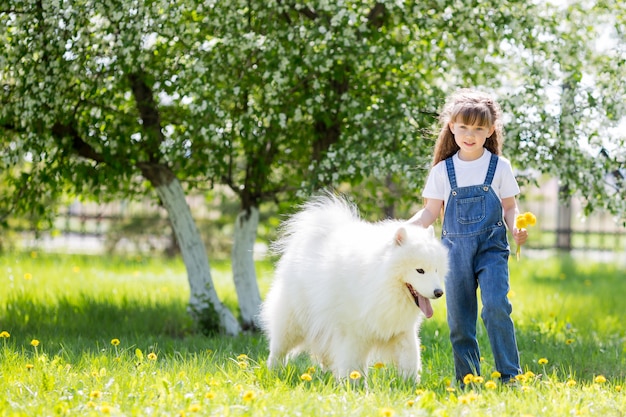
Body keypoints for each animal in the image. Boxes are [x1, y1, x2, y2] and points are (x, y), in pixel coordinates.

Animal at [260, 193, 448, 382]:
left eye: (436, 269)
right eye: (420, 270)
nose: (439, 292)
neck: (380, 283)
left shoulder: (402, 331)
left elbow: (410, 359)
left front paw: (410, 384)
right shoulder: (352, 335)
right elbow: (353, 366)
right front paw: (353, 386)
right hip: (292, 322)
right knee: (278, 350)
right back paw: (274, 373)